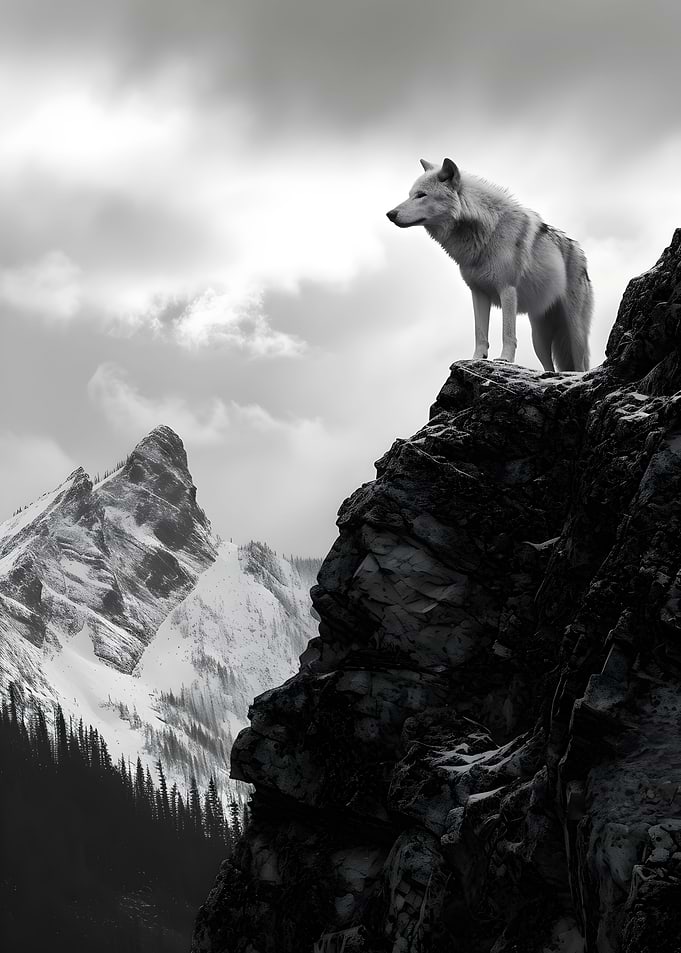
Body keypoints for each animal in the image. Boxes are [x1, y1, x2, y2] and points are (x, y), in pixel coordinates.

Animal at [386, 159, 592, 371]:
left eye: (421, 195)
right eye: (410, 195)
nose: (390, 214)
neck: (488, 231)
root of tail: (581, 254)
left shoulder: (507, 289)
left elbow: (507, 333)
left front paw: (504, 360)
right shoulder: (478, 293)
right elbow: (480, 333)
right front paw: (476, 359)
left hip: (574, 335)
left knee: (581, 367)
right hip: (539, 339)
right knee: (549, 367)